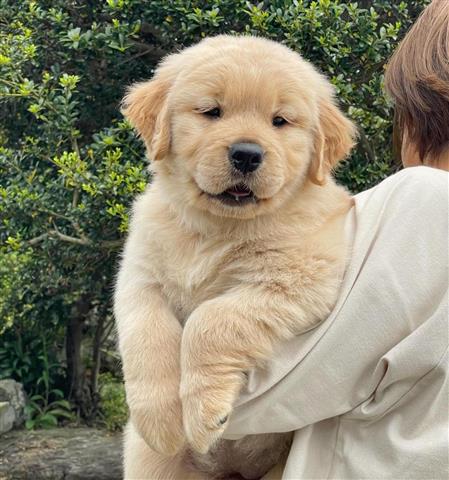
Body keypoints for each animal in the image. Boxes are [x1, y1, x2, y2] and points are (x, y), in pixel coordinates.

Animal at [115, 34, 356, 480]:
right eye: (212, 111)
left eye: (280, 121)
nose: (246, 154)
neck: (215, 229)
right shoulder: (138, 275)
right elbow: (146, 334)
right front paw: (159, 421)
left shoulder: (300, 277)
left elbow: (209, 321)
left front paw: (203, 413)